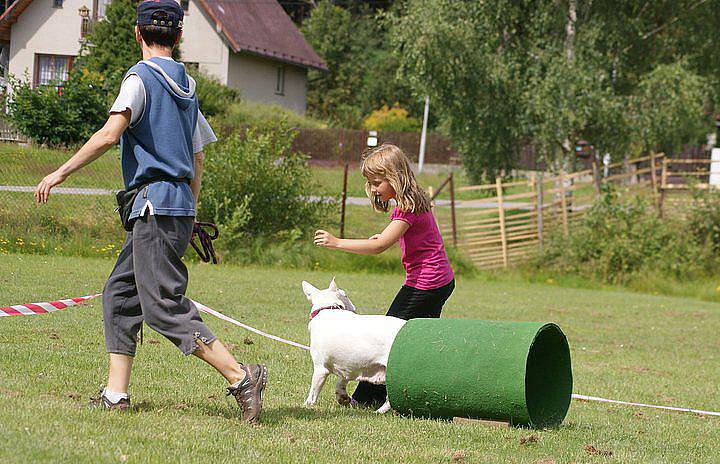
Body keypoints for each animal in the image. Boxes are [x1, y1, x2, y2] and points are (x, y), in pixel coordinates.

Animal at [300, 280, 408, 414]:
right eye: (345, 295)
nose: (354, 308)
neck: (327, 308)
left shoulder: (320, 369)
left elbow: (313, 393)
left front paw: (306, 406)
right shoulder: (348, 367)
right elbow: (341, 382)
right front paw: (343, 398)